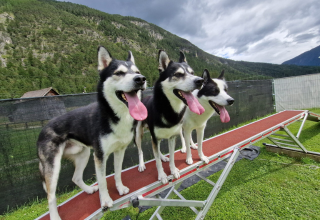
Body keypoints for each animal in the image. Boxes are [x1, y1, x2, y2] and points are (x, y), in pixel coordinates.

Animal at [37, 46, 148, 220]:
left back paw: (89, 190)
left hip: (83, 153)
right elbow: (102, 181)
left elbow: (117, 172)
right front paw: (106, 200)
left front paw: (120, 188)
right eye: (119, 73)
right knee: (50, 195)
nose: (141, 79)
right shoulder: (100, 156)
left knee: (75, 177)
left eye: (137, 72)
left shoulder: (120, 150)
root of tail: (43, 128)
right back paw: (55, 216)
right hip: (53, 167)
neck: (113, 115)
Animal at [135, 50, 205, 184]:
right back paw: (141, 164)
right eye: (178, 74)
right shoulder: (155, 137)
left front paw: (173, 170)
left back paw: (163, 157)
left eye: (192, 73)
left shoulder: (172, 137)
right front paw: (162, 175)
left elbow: (171, 156)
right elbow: (156, 161)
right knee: (140, 150)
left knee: (157, 150)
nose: (201, 80)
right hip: (138, 134)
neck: (168, 109)